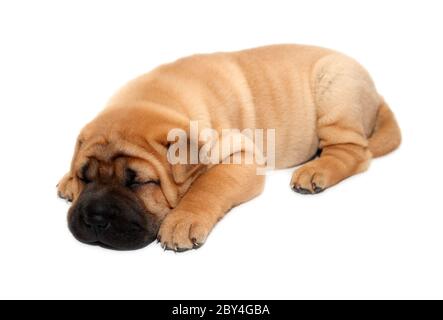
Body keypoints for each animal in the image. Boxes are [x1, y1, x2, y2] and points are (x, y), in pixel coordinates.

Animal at [57, 44, 400, 250]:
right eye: (85, 177)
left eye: (139, 182)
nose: (96, 218)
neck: (154, 98)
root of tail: (376, 93)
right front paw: (66, 182)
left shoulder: (243, 158)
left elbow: (209, 185)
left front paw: (182, 221)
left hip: (335, 91)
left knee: (354, 151)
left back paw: (315, 172)